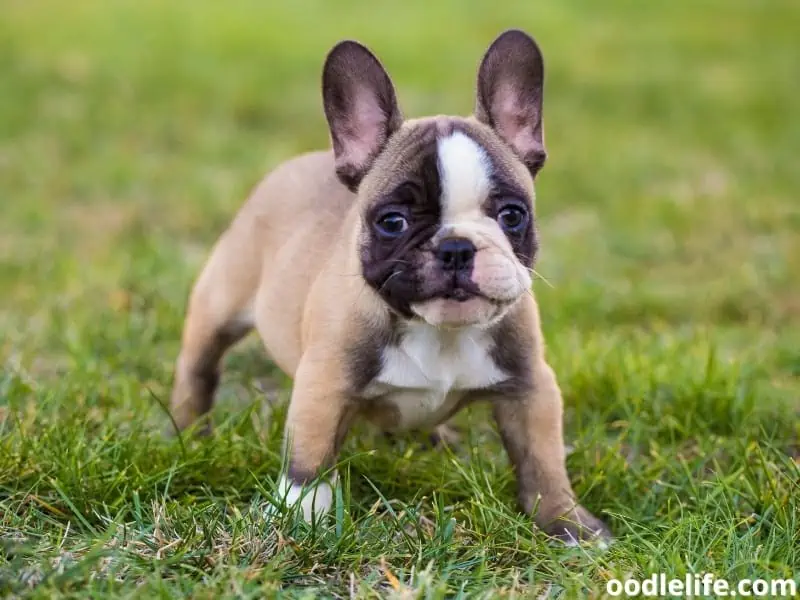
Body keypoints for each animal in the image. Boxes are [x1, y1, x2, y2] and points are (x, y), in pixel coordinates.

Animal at [166, 28, 608, 544]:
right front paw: (300, 519)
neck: (440, 332)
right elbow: (310, 462)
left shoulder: (531, 387)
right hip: (218, 303)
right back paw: (188, 432)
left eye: (512, 215)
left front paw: (569, 525)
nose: (456, 248)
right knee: (199, 367)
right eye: (392, 221)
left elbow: (543, 461)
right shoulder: (325, 385)